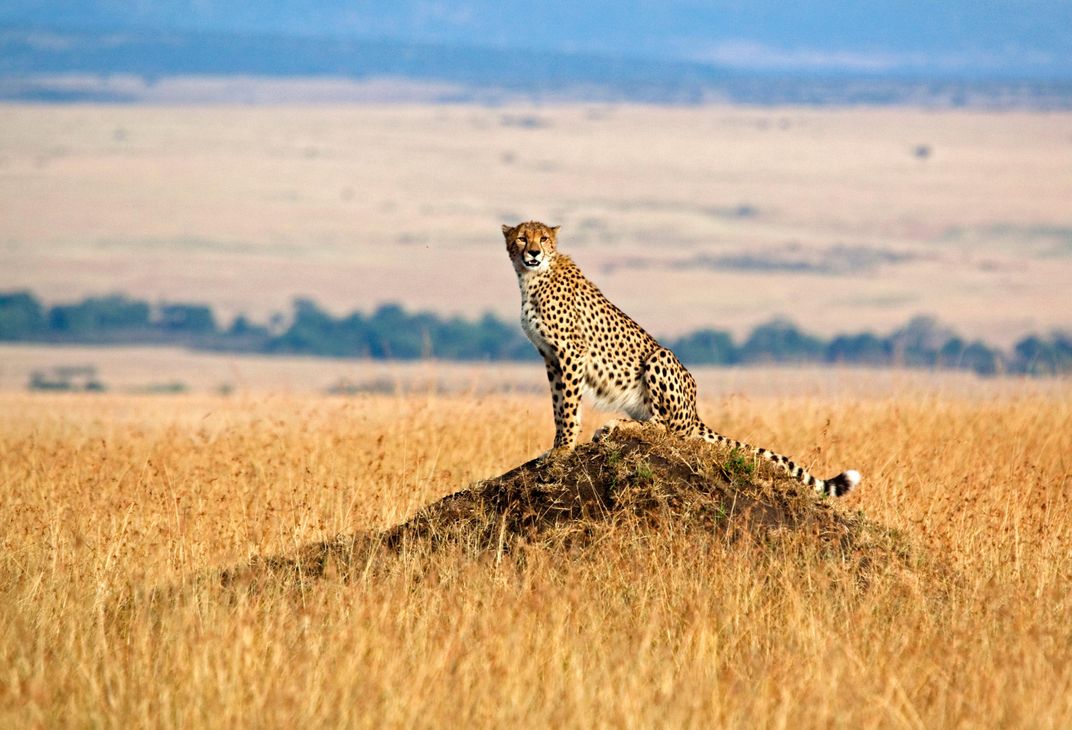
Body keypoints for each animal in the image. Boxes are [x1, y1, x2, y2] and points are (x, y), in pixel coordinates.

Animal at [501, 220, 861, 497]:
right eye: (521, 237)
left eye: (543, 239)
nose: (533, 253)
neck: (532, 278)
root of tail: (695, 412)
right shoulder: (550, 357)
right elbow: (560, 404)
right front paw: (556, 446)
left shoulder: (571, 352)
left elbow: (568, 407)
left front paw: (563, 447)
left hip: (660, 357)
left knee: (667, 427)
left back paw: (616, 424)